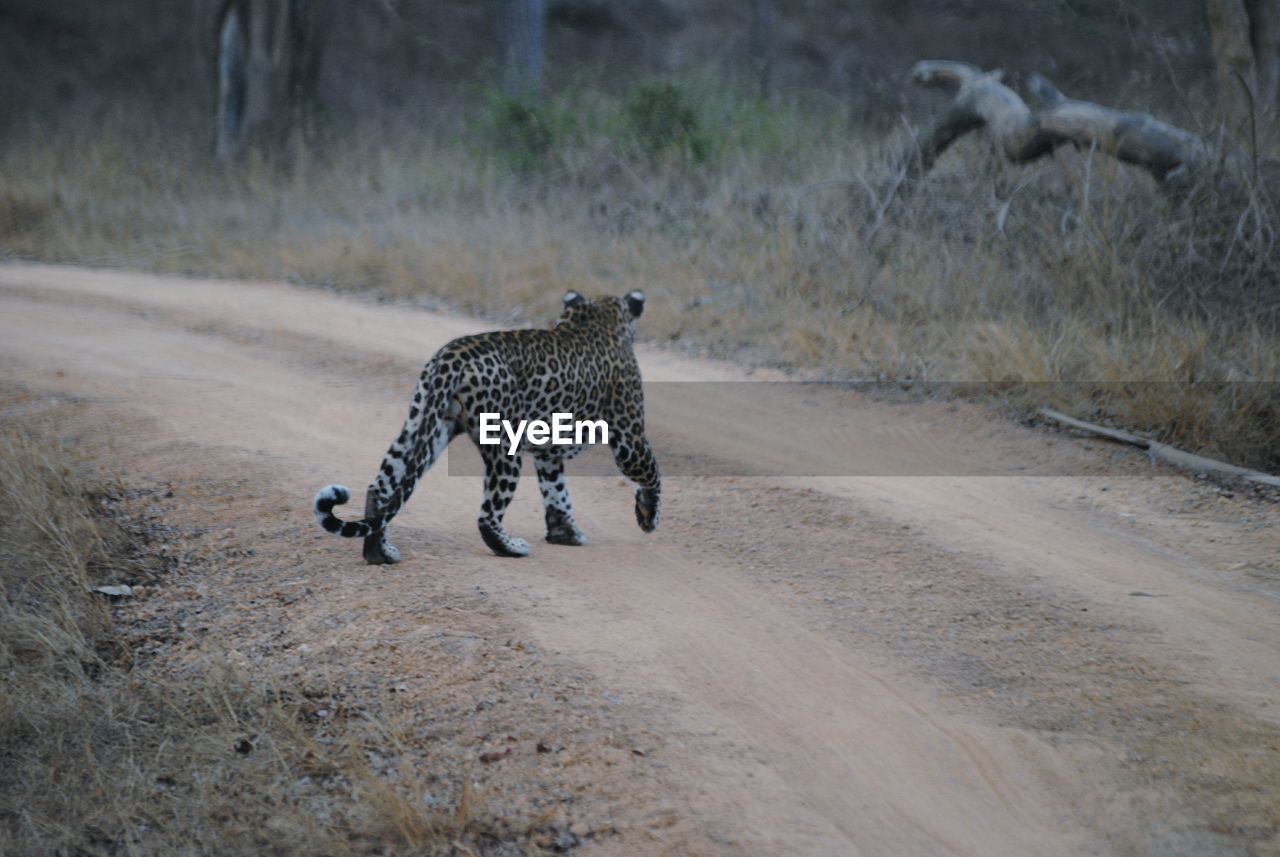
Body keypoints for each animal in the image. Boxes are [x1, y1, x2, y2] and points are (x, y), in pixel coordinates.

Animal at [314, 291, 665, 567]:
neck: (597, 318)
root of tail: (451, 357)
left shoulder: (548, 452)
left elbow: (557, 492)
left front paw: (564, 533)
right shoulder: (629, 436)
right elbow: (652, 473)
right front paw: (647, 516)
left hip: (424, 425)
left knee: (382, 488)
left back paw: (380, 553)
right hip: (503, 444)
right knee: (486, 516)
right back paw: (512, 547)